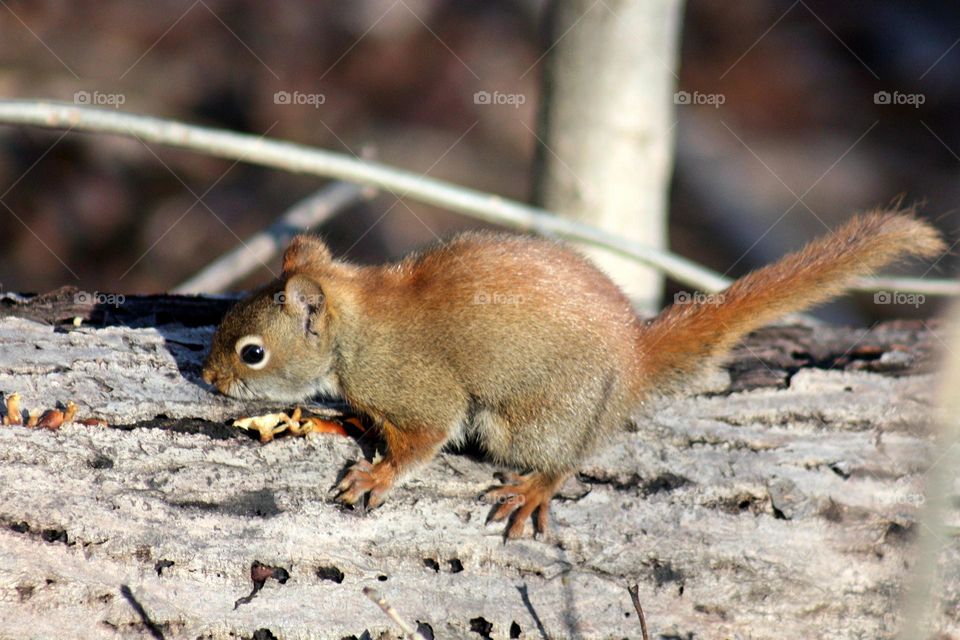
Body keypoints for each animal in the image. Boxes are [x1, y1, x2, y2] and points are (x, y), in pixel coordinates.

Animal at [202, 210, 945, 538]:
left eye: (252, 353)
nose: (209, 377)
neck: (359, 329)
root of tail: (635, 360)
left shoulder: (420, 389)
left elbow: (422, 441)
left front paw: (375, 475)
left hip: (528, 420)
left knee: (565, 459)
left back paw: (534, 489)